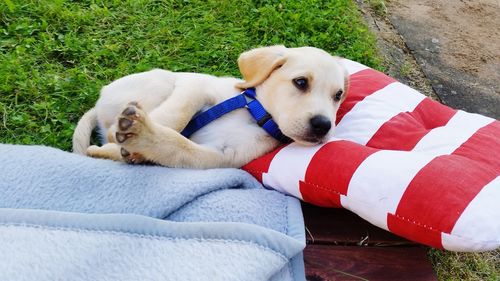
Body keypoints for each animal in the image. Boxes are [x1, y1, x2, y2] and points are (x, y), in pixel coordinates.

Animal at [72, 45, 350, 167]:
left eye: (338, 95)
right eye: (301, 82)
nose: (323, 125)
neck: (255, 113)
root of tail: (99, 103)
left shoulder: (218, 156)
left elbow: (178, 146)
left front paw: (144, 139)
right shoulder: (196, 85)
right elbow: (178, 115)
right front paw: (135, 132)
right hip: (161, 82)